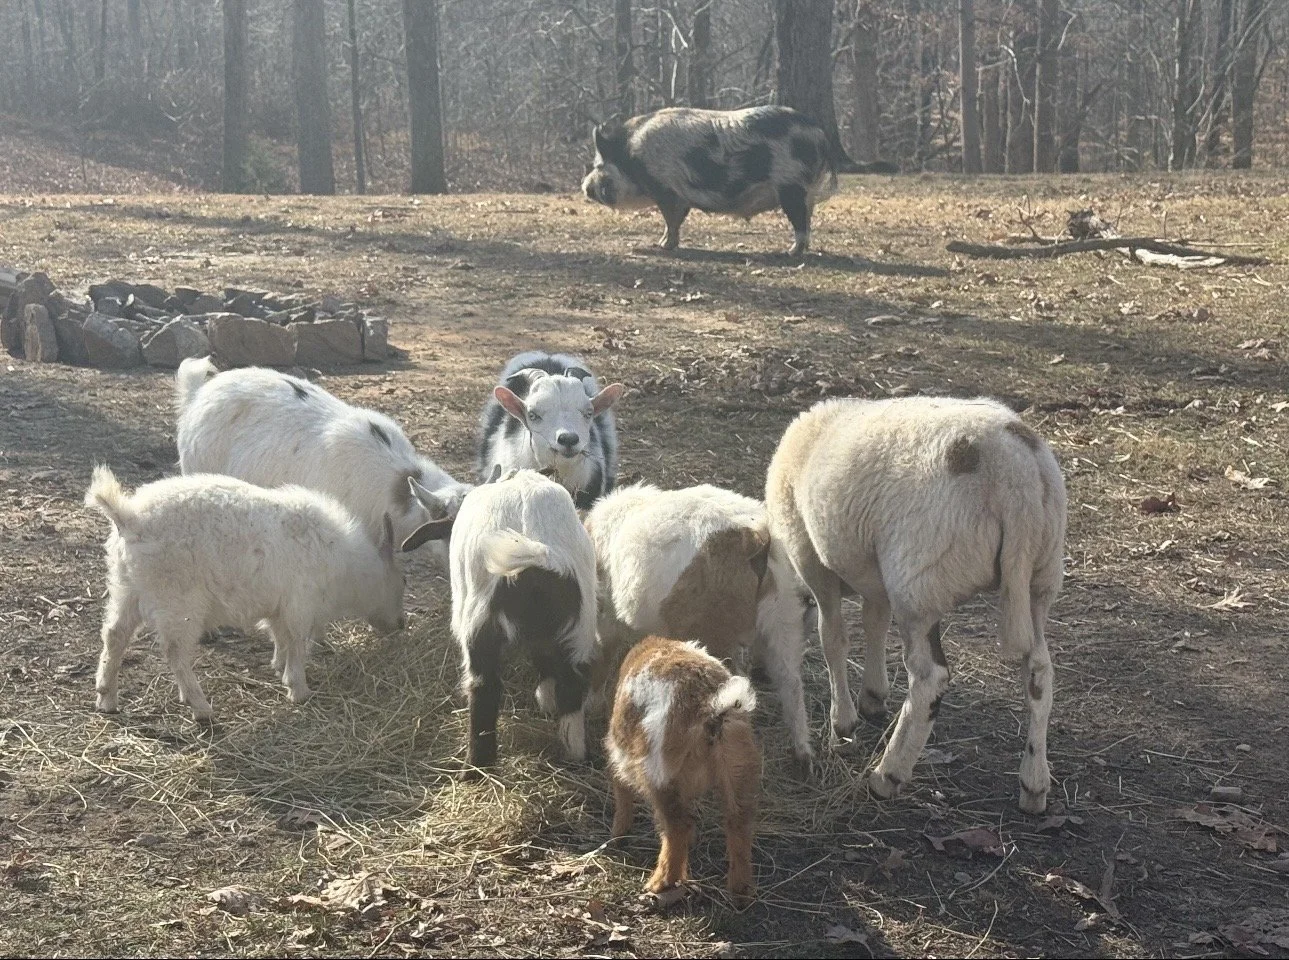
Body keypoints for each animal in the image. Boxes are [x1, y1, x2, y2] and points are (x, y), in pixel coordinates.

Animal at [85, 466, 404, 721]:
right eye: (400, 584)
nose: (400, 625)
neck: (342, 560)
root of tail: (130, 519)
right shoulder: (299, 604)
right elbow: (297, 642)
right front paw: (298, 689)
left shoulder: (279, 607)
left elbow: (280, 636)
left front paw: (278, 666)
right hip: (178, 602)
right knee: (174, 651)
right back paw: (200, 707)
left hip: (126, 589)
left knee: (114, 635)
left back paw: (106, 698)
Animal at [403, 467, 598, 773]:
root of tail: (537, 562)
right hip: (579, 629)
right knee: (571, 687)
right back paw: (574, 756)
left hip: (479, 628)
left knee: (484, 690)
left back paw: (475, 769)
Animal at [584, 483, 813, 776]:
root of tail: (755, 538)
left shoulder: (608, 618)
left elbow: (603, 652)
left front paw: (592, 704)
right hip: (783, 619)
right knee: (790, 682)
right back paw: (802, 756)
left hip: (717, 634)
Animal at [607, 635, 761, 901]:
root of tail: (711, 710)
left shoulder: (618, 754)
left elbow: (622, 796)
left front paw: (617, 835)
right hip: (738, 768)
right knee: (738, 823)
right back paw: (739, 891)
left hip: (659, 775)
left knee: (676, 827)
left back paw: (658, 884)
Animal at [765, 396, 1066, 813]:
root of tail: (1015, 469)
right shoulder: (874, 576)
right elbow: (874, 623)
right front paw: (873, 697)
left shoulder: (811, 557)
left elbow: (834, 638)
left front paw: (843, 723)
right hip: (1041, 577)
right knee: (1038, 673)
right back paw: (1034, 785)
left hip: (920, 583)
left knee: (929, 679)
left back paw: (887, 775)